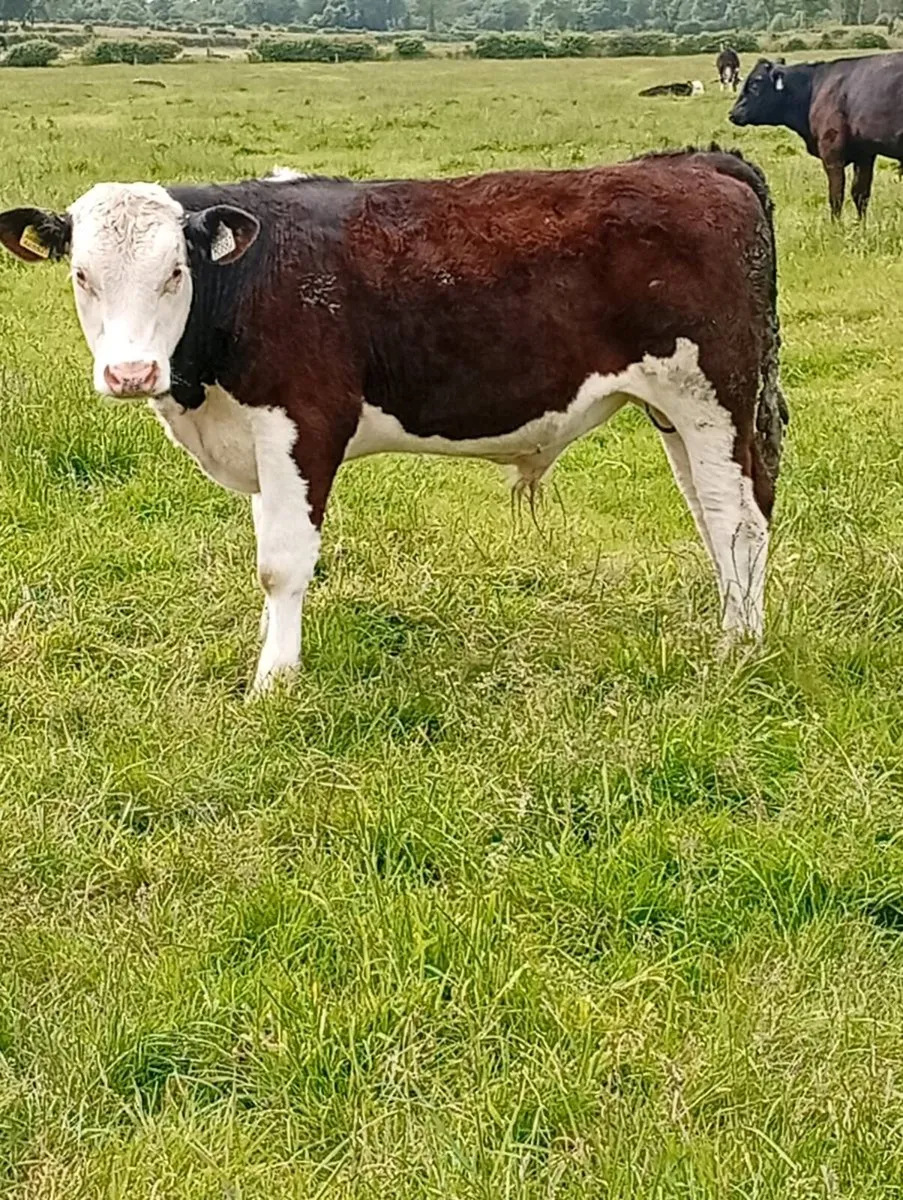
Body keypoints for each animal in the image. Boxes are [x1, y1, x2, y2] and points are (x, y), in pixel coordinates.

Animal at [0, 148, 787, 694]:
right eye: (81, 276)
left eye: (173, 273)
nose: (130, 373)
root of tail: (695, 163)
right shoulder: (256, 440)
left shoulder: (303, 425)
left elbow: (281, 564)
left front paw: (273, 683)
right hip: (677, 411)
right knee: (713, 515)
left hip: (713, 396)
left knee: (738, 520)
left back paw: (738, 648)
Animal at [730, 53, 903, 219]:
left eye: (755, 84)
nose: (732, 113)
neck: (813, 88)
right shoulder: (864, 154)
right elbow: (860, 194)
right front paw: (861, 225)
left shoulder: (832, 153)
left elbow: (836, 196)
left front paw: (836, 225)